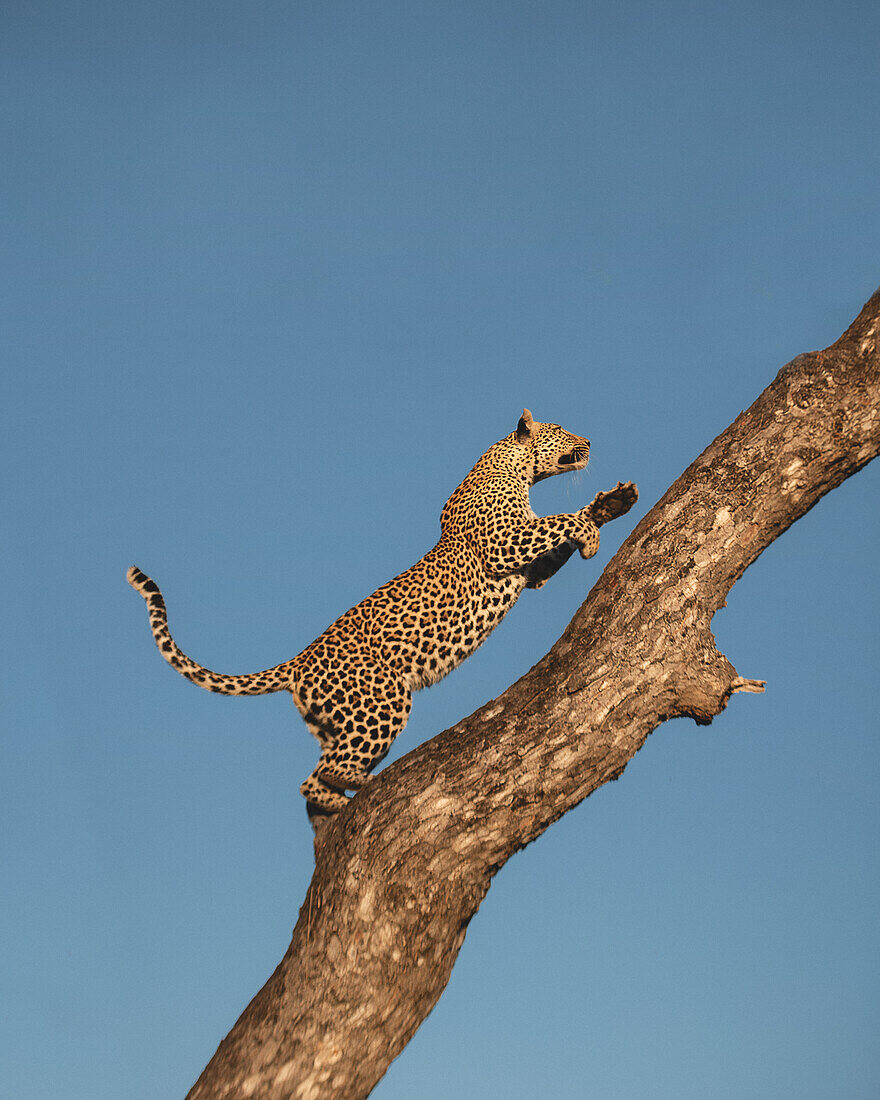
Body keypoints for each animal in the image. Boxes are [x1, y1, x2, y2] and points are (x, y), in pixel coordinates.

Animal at [127, 409, 638, 814]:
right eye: (561, 428)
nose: (590, 440)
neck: (516, 469)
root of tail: (300, 661)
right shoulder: (503, 544)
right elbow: (560, 522)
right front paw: (591, 532)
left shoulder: (529, 566)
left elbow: (561, 535)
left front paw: (610, 506)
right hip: (383, 699)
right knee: (329, 771)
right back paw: (370, 783)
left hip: (336, 719)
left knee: (311, 779)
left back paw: (340, 804)